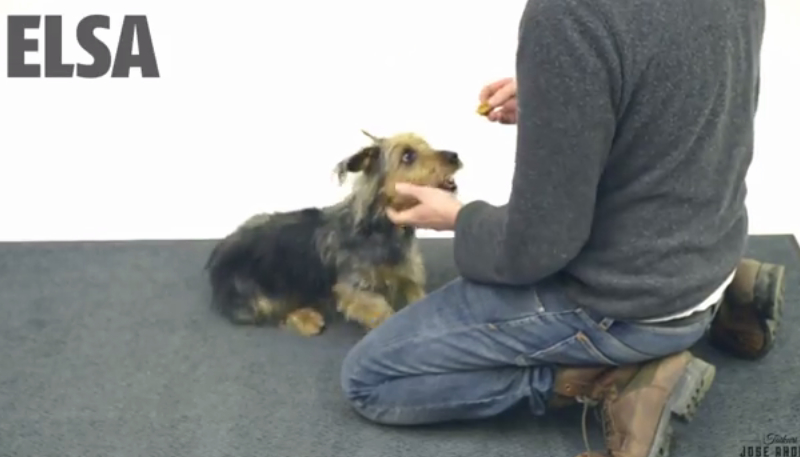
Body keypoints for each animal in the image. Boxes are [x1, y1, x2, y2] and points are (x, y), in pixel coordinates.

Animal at [204, 130, 463, 336]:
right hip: (253, 292)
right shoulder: (352, 288)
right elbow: (380, 311)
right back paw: (306, 318)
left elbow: (417, 297)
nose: (455, 155)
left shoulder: (407, 273)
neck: (381, 228)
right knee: (270, 313)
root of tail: (218, 253)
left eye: (427, 145)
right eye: (408, 156)